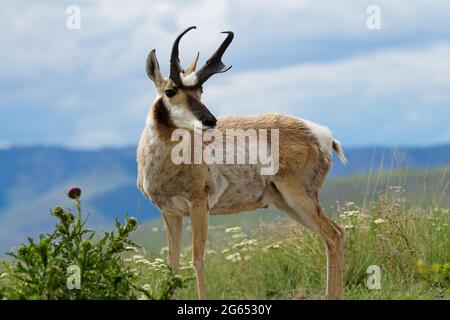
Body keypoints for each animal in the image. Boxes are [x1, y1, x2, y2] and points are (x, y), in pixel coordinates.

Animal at [137, 26, 348, 298]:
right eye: (170, 91)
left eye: (200, 91)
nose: (210, 120)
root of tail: (321, 133)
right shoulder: (170, 212)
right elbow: (172, 264)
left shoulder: (199, 206)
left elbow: (198, 259)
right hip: (286, 203)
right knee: (336, 234)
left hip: (299, 197)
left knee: (333, 235)